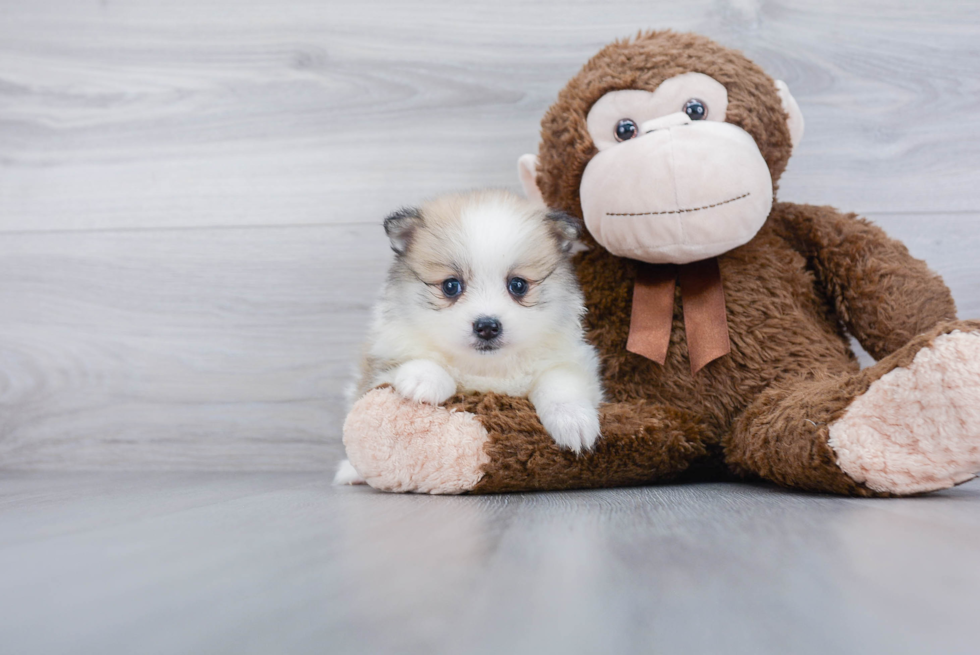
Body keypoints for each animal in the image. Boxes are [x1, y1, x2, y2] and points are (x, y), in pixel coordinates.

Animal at [336, 190, 604, 486]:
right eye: (451, 286)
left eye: (518, 285)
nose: (487, 326)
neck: (485, 368)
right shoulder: (380, 365)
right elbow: (411, 363)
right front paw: (424, 379)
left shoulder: (570, 361)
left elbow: (560, 384)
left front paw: (573, 421)